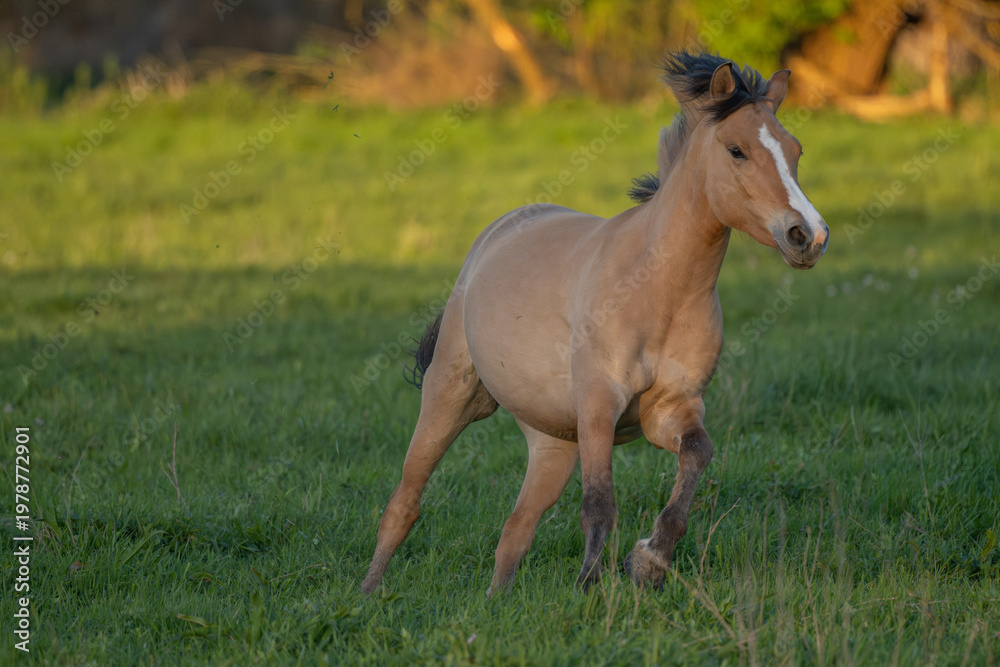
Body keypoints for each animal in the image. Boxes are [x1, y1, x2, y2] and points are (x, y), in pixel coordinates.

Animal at [361, 51, 829, 596]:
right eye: (737, 150)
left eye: (796, 151)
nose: (808, 236)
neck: (657, 293)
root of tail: (496, 233)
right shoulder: (599, 404)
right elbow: (600, 504)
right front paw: (590, 586)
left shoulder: (669, 409)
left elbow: (697, 456)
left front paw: (648, 561)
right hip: (451, 395)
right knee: (405, 502)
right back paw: (368, 594)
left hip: (553, 442)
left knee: (515, 531)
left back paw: (495, 600)